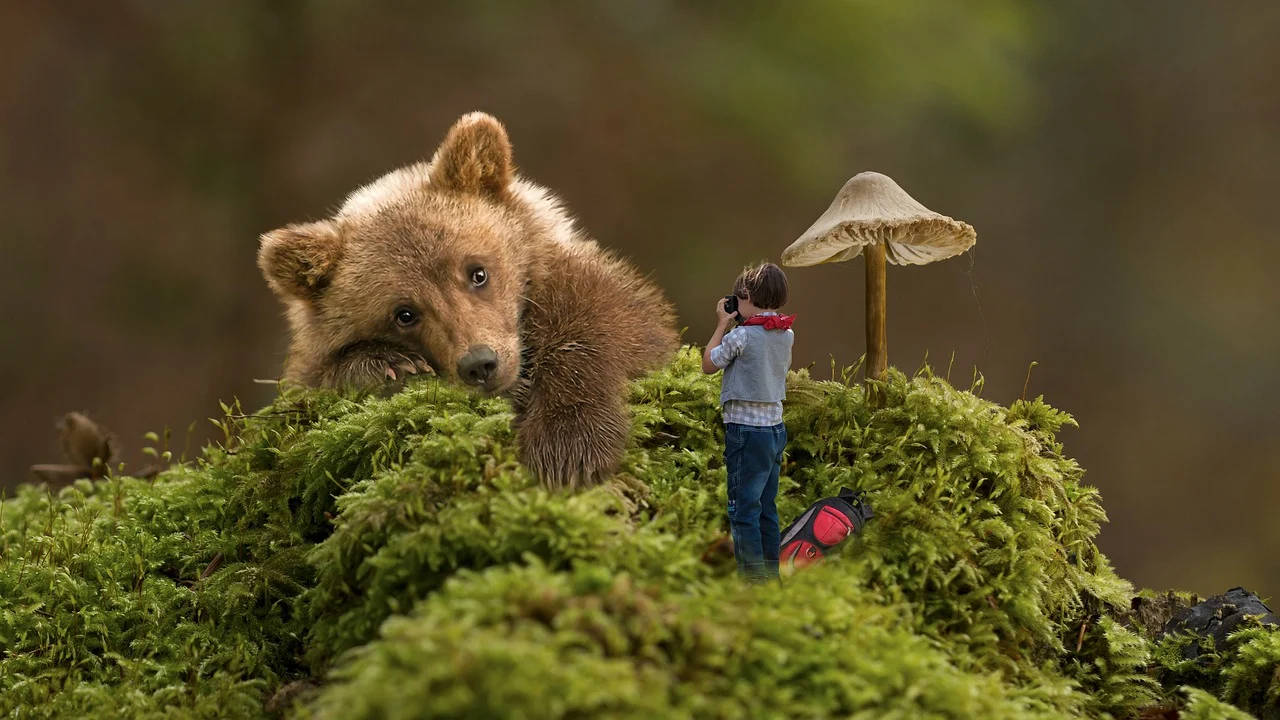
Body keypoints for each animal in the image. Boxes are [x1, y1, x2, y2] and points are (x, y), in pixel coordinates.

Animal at [258, 112, 679, 489]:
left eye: (477, 272)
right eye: (404, 313)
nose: (480, 363)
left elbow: (607, 326)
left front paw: (569, 448)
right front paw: (390, 366)